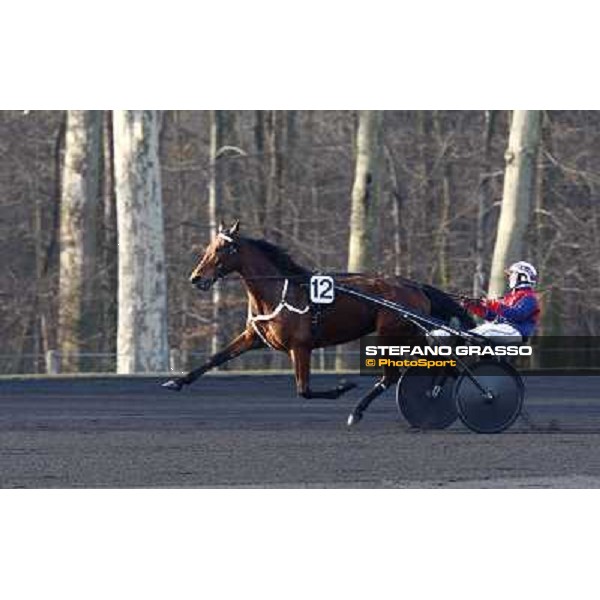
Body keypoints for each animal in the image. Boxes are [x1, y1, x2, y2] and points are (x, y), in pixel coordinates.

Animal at [163, 221, 474, 426]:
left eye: (221, 250)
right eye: (208, 247)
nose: (196, 278)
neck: (279, 291)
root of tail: (415, 285)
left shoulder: (300, 346)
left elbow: (304, 390)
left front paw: (343, 387)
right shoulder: (254, 337)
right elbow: (215, 358)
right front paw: (176, 381)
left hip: (394, 334)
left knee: (413, 371)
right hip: (407, 334)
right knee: (431, 367)